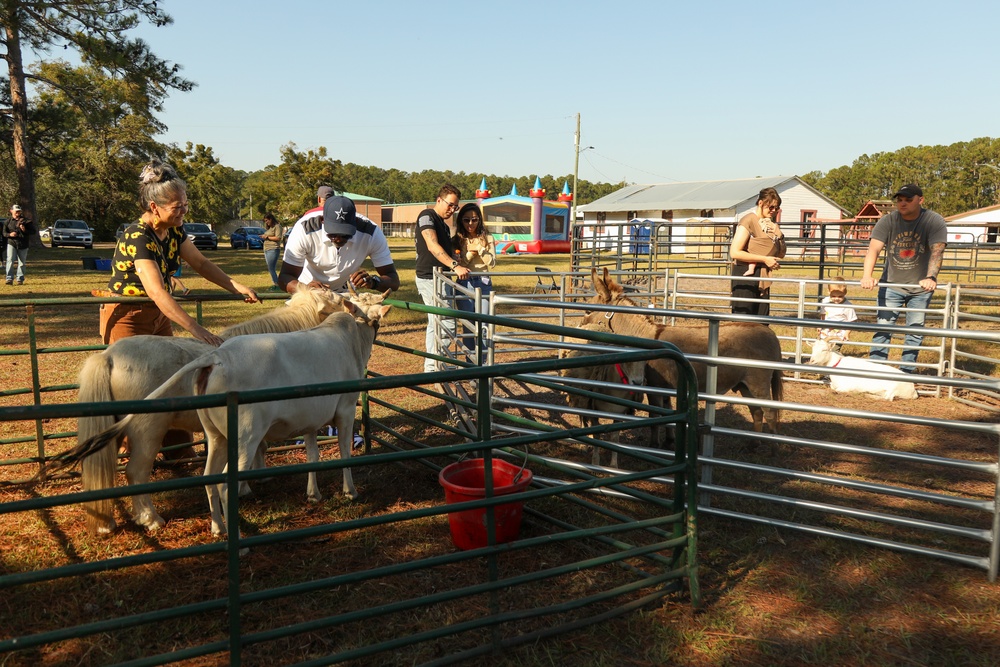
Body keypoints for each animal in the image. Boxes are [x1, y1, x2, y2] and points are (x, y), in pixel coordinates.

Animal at [54, 290, 390, 540]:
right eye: (333, 296)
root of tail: (108, 356)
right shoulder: (340, 410)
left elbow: (300, 453)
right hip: (150, 428)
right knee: (136, 472)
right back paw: (152, 519)